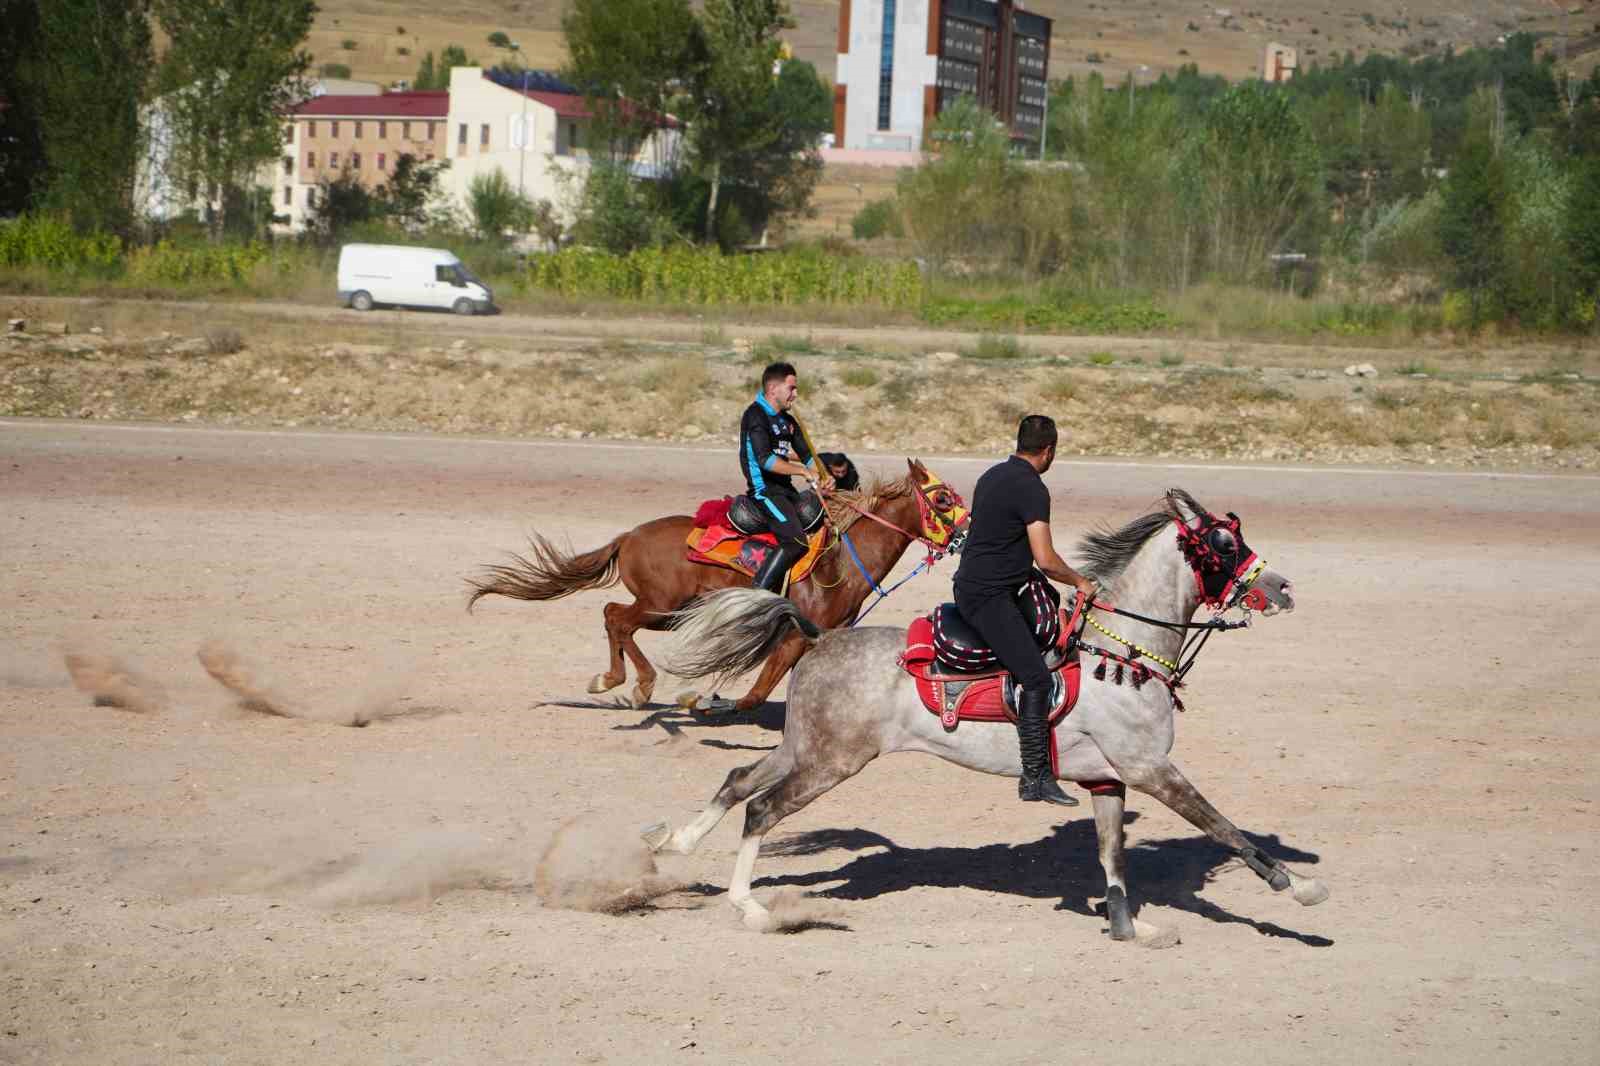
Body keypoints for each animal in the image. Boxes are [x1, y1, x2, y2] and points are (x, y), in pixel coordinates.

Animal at [457, 457, 966, 713]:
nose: (967, 529)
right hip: (661, 605)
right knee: (616, 618)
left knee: (614, 617)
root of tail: (628, 537)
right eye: (942, 498)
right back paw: (630, 684)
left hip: (669, 611)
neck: (837, 561)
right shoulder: (794, 634)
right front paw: (703, 699)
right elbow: (753, 696)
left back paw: (621, 682)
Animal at [643, 486, 1331, 934]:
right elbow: (1224, 827)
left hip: (805, 747)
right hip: (831, 761)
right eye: (1224, 541)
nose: (1282, 587)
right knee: (761, 808)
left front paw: (1128, 927)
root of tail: (817, 637)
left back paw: (676, 844)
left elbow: (1112, 857)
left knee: (739, 780)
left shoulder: (1109, 780)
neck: (1120, 654)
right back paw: (749, 907)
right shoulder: (1149, 770)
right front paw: (1300, 889)